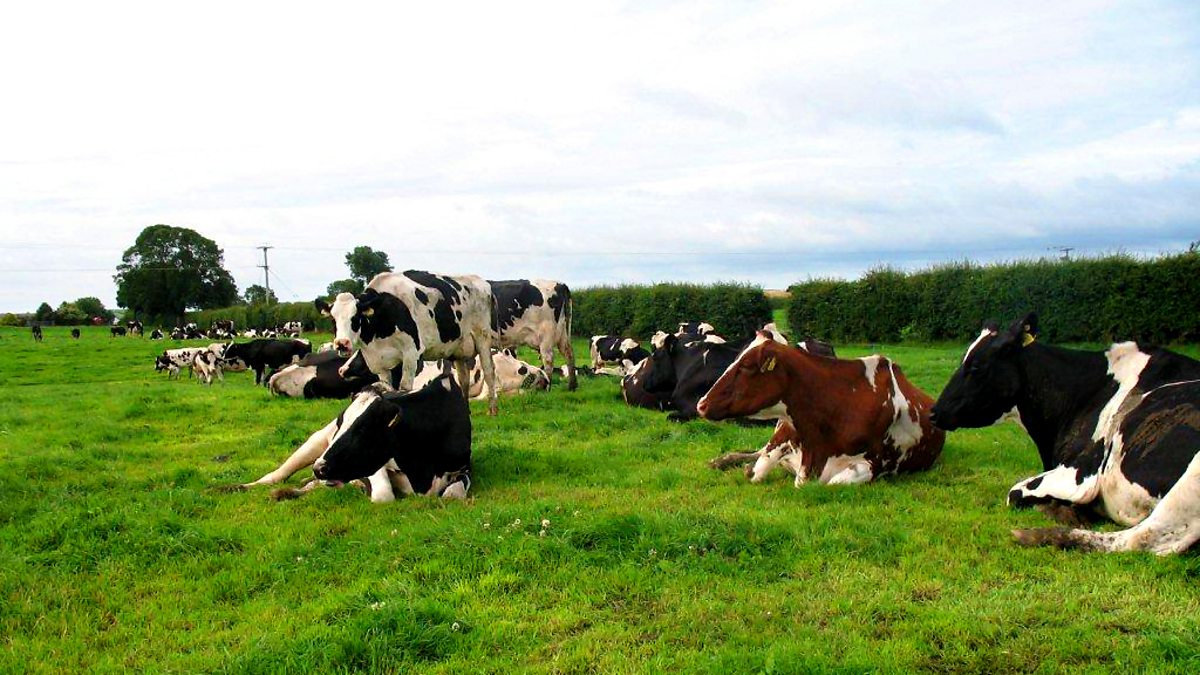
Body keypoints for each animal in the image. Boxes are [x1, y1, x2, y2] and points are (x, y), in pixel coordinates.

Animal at [242, 375, 472, 503]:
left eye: (363, 429)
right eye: (340, 423)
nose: (319, 468)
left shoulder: (464, 466)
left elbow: (453, 494)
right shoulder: (372, 465)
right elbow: (383, 494)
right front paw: (361, 486)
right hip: (315, 443)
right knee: (276, 475)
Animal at [315, 270, 501, 415]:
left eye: (355, 317)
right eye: (333, 319)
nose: (342, 343)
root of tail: (483, 283)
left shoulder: (411, 353)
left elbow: (405, 388)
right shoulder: (378, 362)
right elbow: (387, 386)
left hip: (482, 337)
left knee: (489, 371)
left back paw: (492, 409)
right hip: (459, 348)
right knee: (463, 379)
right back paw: (465, 410)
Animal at [701, 331, 944, 486]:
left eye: (746, 366)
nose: (701, 404)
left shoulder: (877, 464)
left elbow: (831, 482)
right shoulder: (785, 437)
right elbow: (757, 471)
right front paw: (744, 468)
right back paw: (721, 460)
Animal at [930, 313, 1200, 555]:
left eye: (975, 366)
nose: (934, 412)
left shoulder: (1080, 475)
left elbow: (1014, 493)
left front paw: (1062, 510)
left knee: (1142, 538)